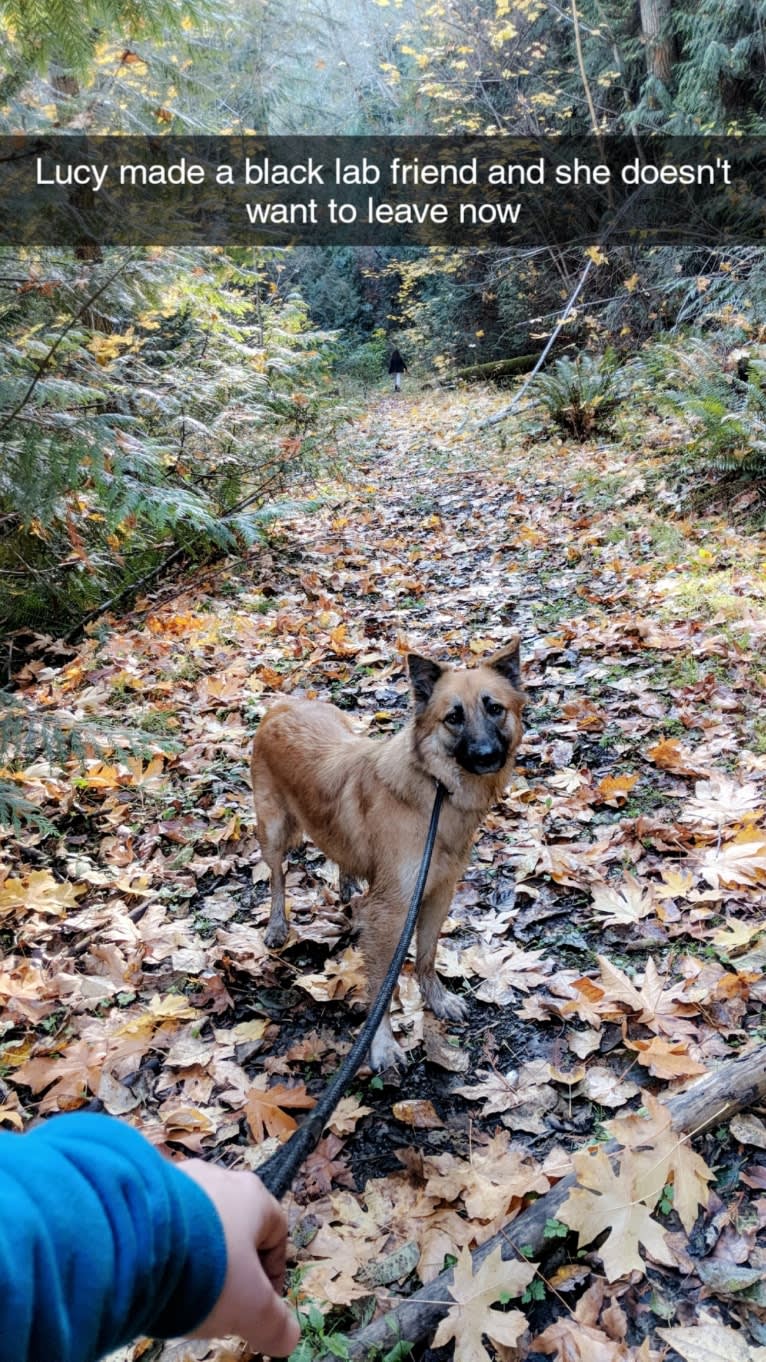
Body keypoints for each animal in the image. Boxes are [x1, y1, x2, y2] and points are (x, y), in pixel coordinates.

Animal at [250, 640, 523, 1073]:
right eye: (453, 718)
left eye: (494, 708)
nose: (485, 755)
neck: (435, 791)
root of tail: (283, 706)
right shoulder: (392, 911)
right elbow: (383, 984)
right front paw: (382, 1043)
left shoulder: (438, 892)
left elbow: (426, 955)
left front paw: (436, 999)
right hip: (274, 831)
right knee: (277, 878)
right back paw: (278, 924)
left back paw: (348, 889)